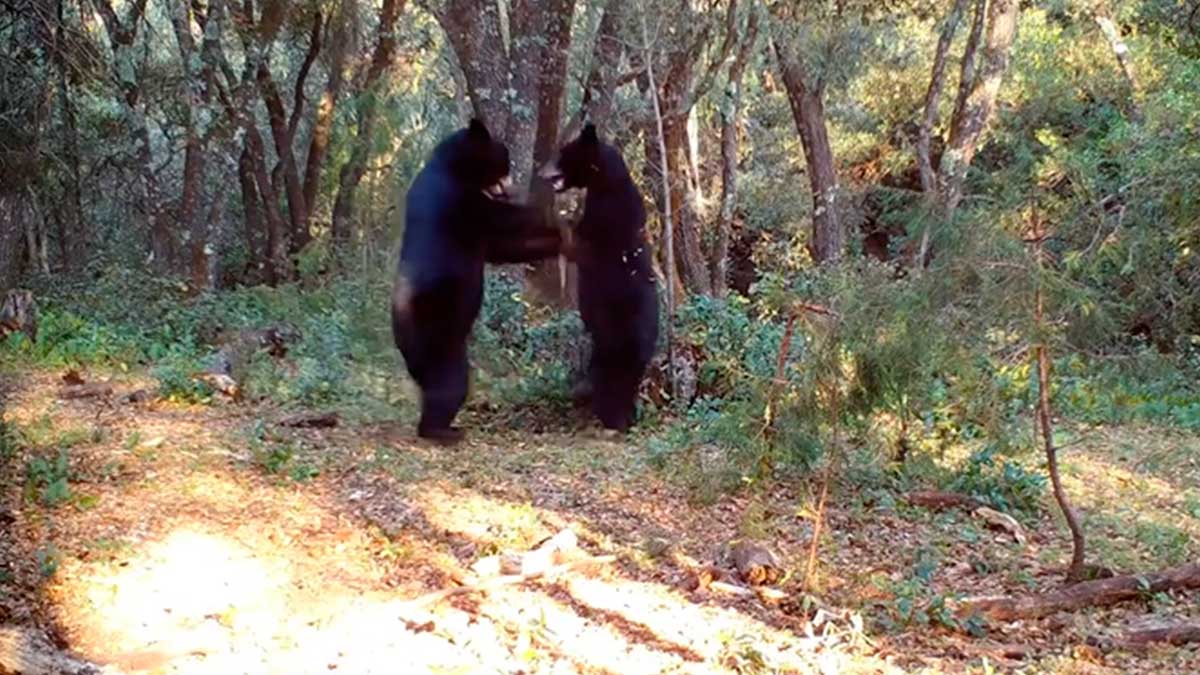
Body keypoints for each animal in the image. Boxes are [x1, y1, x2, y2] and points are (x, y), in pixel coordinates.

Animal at [393, 119, 565, 444]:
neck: (452, 166)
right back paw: (442, 429)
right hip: (437, 327)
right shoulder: (458, 200)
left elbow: (502, 247)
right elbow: (504, 220)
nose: (509, 185)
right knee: (450, 381)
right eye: (503, 162)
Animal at [539, 123, 659, 432]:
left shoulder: (603, 217)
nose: (542, 173)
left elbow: (578, 244)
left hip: (614, 338)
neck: (606, 182)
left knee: (610, 376)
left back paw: (608, 414)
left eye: (564, 152)